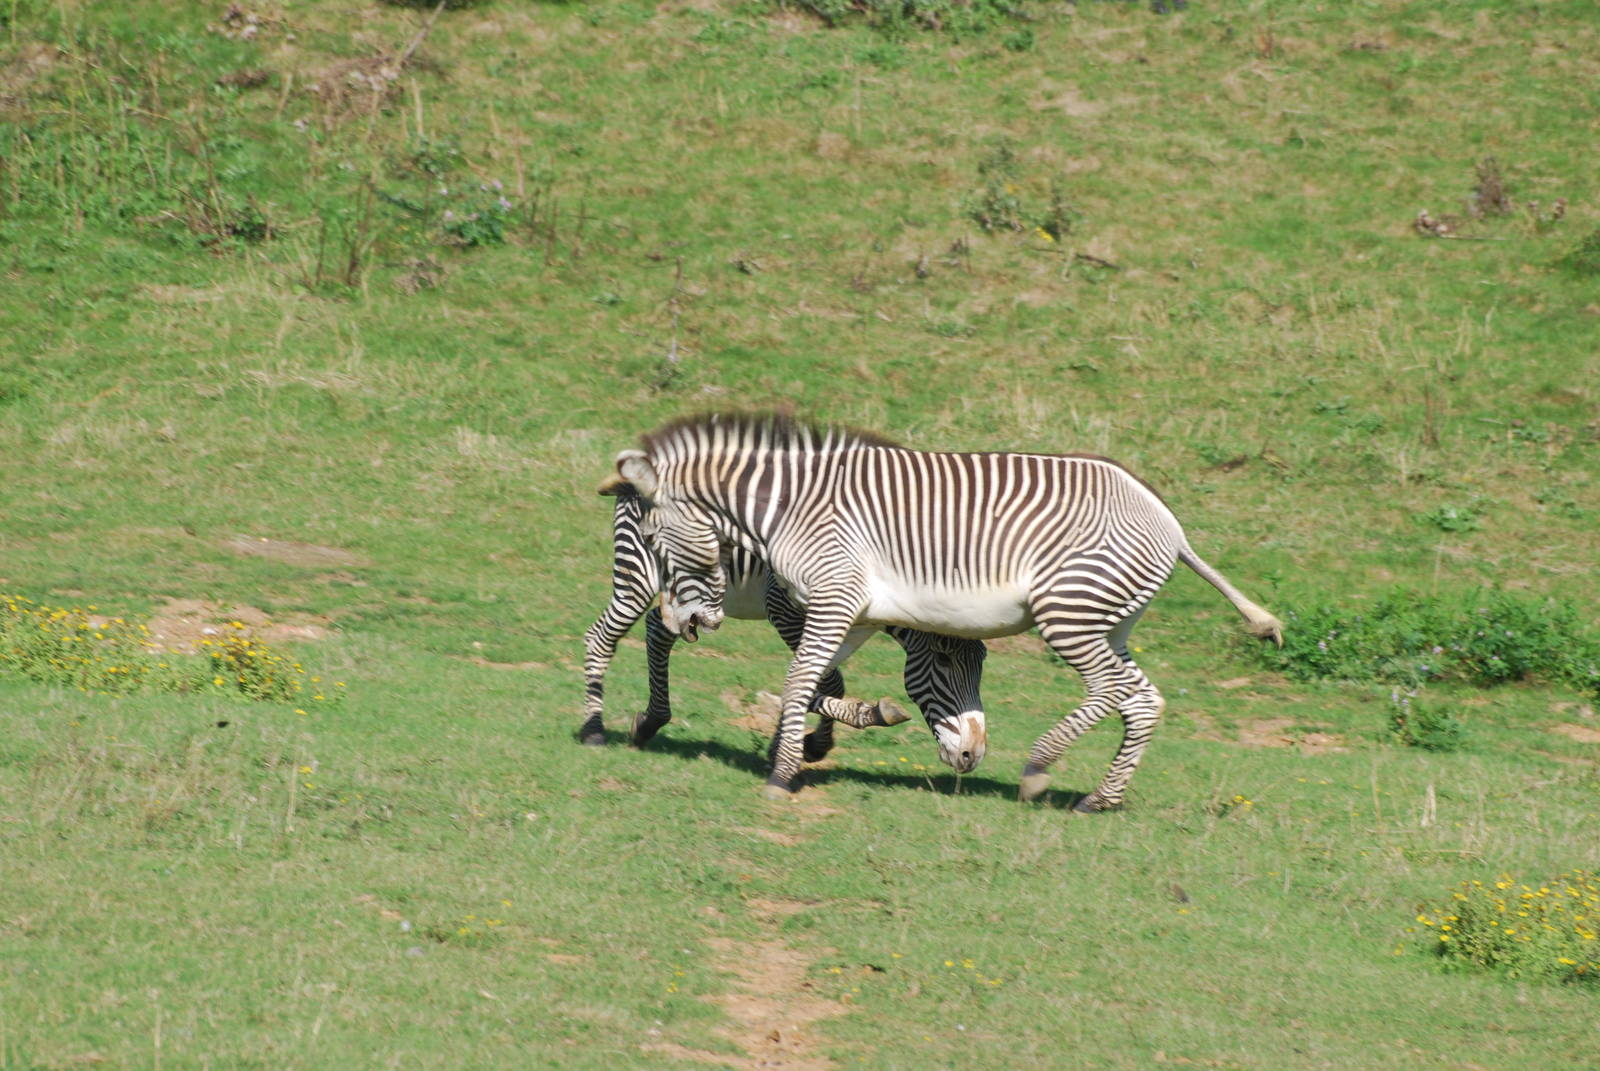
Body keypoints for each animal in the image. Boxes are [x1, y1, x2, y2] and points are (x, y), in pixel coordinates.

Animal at [582, 477, 990, 772]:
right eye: (944, 661)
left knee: (655, 628)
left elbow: (818, 679)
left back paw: (651, 721)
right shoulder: (784, 608)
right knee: (600, 637)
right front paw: (817, 742)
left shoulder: (853, 625)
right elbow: (826, 680)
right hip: (639, 572)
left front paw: (792, 744)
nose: (973, 755)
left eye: (980, 664)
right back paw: (593, 730)